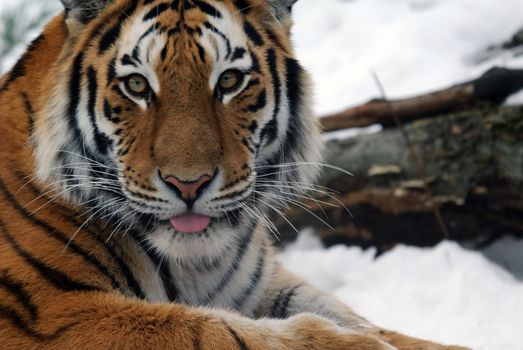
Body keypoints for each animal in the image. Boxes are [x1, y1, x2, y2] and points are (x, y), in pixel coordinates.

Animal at [0, 0, 470, 348]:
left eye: (228, 81)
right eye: (136, 85)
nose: (187, 184)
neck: (197, 263)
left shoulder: (261, 287)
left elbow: (359, 319)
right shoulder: (52, 311)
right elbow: (209, 331)